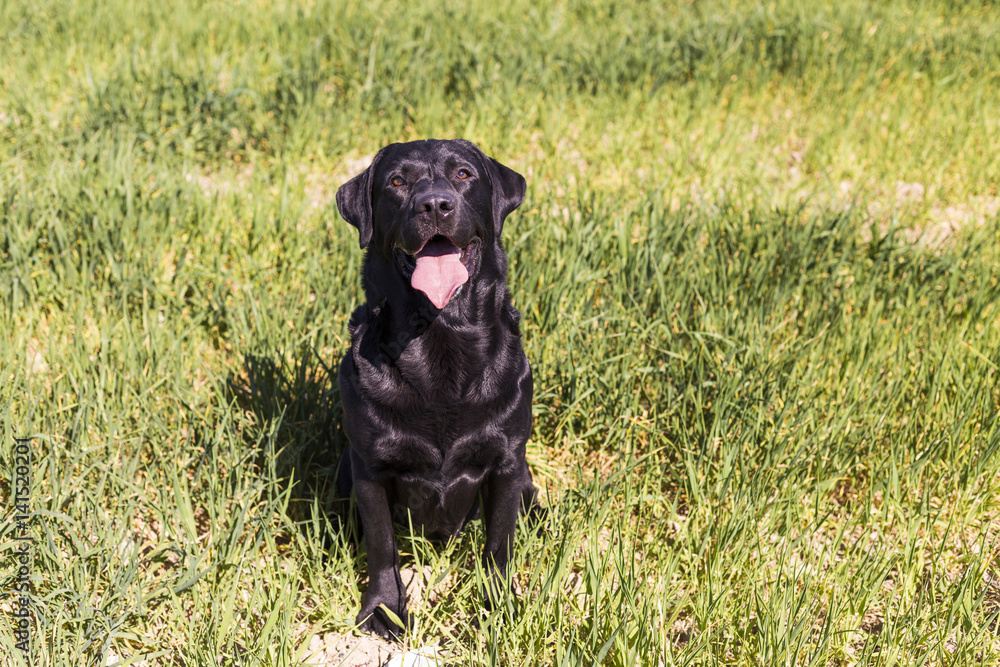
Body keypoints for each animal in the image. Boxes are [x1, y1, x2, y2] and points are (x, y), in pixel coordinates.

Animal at [334, 138, 540, 640]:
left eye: (464, 174)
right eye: (397, 181)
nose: (434, 204)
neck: (439, 337)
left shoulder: (507, 461)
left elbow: (499, 543)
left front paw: (498, 605)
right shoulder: (369, 467)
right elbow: (382, 546)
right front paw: (384, 609)